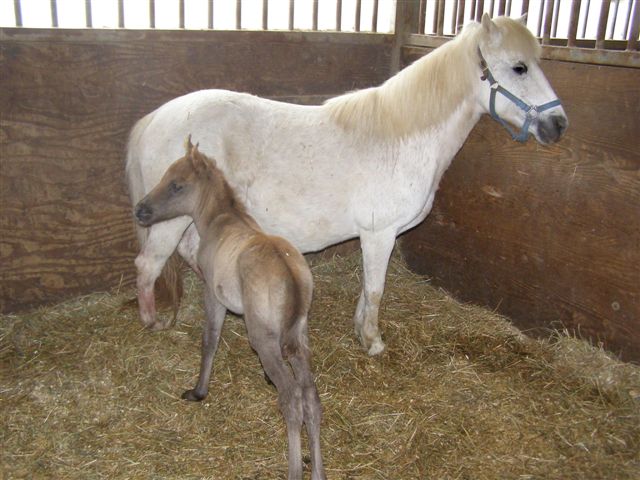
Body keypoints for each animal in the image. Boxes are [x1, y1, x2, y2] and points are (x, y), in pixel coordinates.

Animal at [127, 15, 568, 354]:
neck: (402, 138)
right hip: (167, 219)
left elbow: (368, 289)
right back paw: (153, 324)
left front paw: (361, 329)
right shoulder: (379, 233)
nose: (558, 124)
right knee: (148, 265)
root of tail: (153, 119)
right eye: (519, 67)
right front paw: (372, 341)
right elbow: (375, 289)